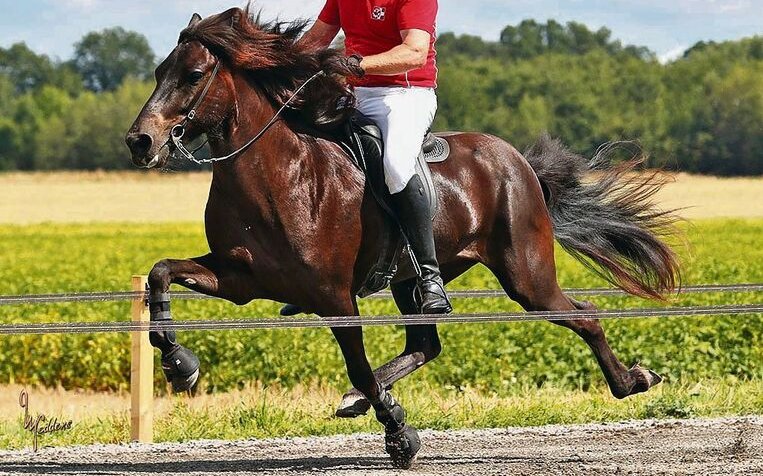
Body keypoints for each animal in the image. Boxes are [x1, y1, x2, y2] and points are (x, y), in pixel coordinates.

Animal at [125, 7, 680, 468]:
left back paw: (634, 380)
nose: (140, 141)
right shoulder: (240, 278)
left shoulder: (333, 297)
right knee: (426, 343)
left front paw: (399, 434)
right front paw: (178, 362)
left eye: (194, 75)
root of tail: (517, 161)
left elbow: (358, 367)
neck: (275, 173)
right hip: (409, 280)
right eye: (158, 72)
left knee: (583, 315)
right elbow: (160, 273)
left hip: (526, 275)